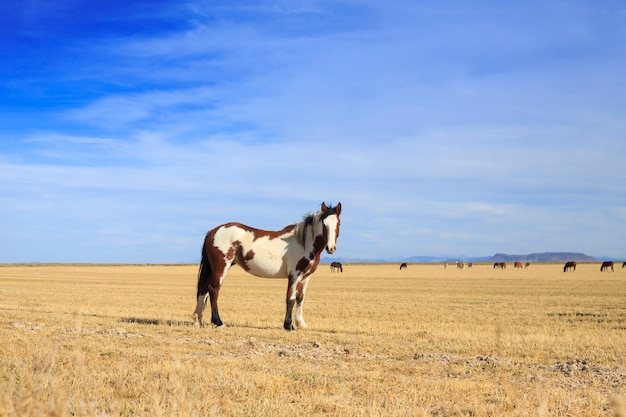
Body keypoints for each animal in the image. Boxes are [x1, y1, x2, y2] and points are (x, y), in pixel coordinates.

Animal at [194, 200, 342, 330]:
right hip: (221, 268)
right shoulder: (295, 275)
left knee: (203, 290)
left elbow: (300, 298)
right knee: (213, 290)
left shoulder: (306, 277)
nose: (330, 248)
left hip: (213, 269)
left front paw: (301, 324)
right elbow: (290, 299)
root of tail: (212, 232)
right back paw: (218, 322)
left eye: (338, 223)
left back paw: (198, 321)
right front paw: (289, 326)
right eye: (324, 224)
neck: (303, 244)